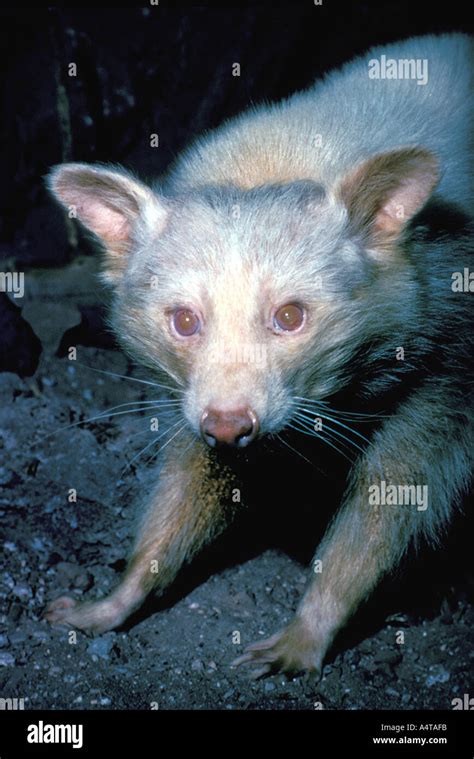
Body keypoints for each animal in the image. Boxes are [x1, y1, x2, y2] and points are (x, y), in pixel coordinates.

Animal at [43, 34, 470, 676]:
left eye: (290, 316)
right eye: (184, 320)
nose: (229, 424)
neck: (279, 162)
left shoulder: (444, 350)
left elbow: (397, 496)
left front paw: (313, 622)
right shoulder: (199, 393)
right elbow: (193, 479)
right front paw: (125, 591)